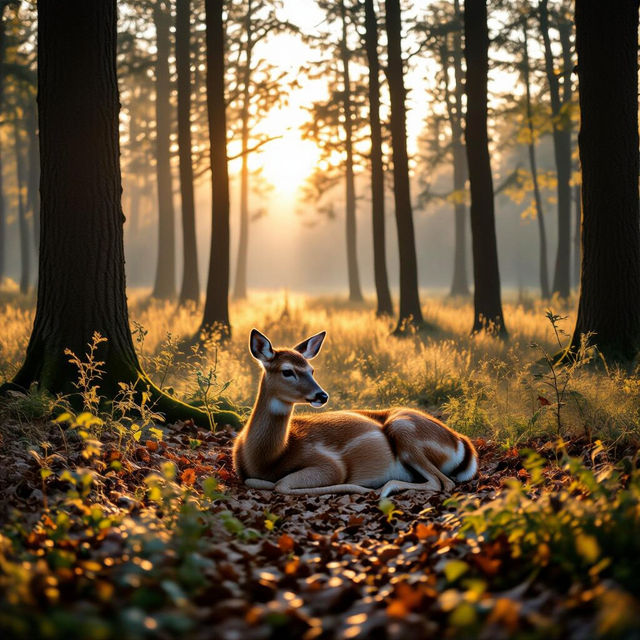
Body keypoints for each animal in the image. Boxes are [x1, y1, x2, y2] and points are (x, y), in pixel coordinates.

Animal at [232, 329, 478, 497]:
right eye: (287, 371)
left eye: (312, 370)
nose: (322, 395)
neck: (268, 457)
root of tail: (462, 444)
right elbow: (257, 481)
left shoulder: (330, 464)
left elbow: (280, 484)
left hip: (404, 429)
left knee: (443, 482)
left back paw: (384, 488)